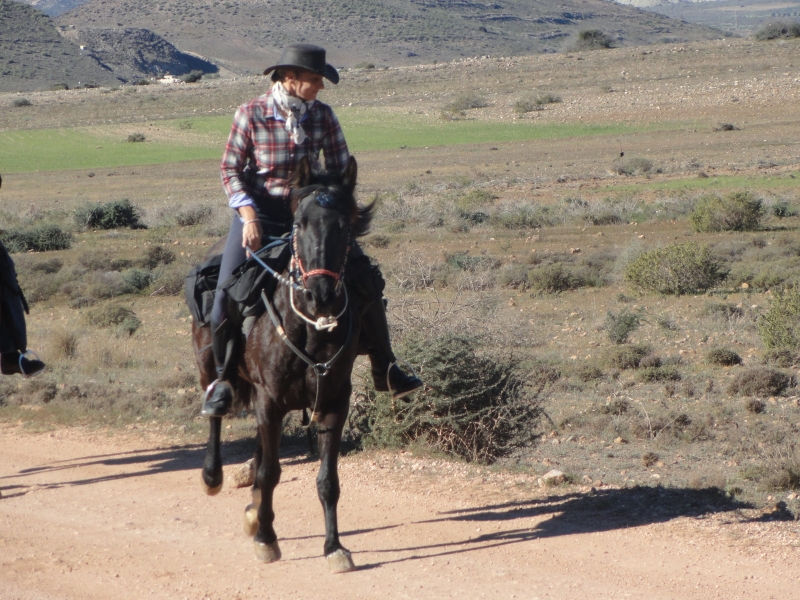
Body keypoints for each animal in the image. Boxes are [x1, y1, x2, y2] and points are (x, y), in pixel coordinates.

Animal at [192, 157, 374, 576]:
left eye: (344, 224)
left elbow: (327, 480)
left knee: (261, 450)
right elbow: (271, 471)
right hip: (211, 366)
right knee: (216, 414)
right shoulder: (270, 400)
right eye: (300, 223)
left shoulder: (333, 403)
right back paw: (213, 477)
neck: (309, 328)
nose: (320, 294)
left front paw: (333, 547)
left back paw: (255, 511)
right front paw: (266, 539)